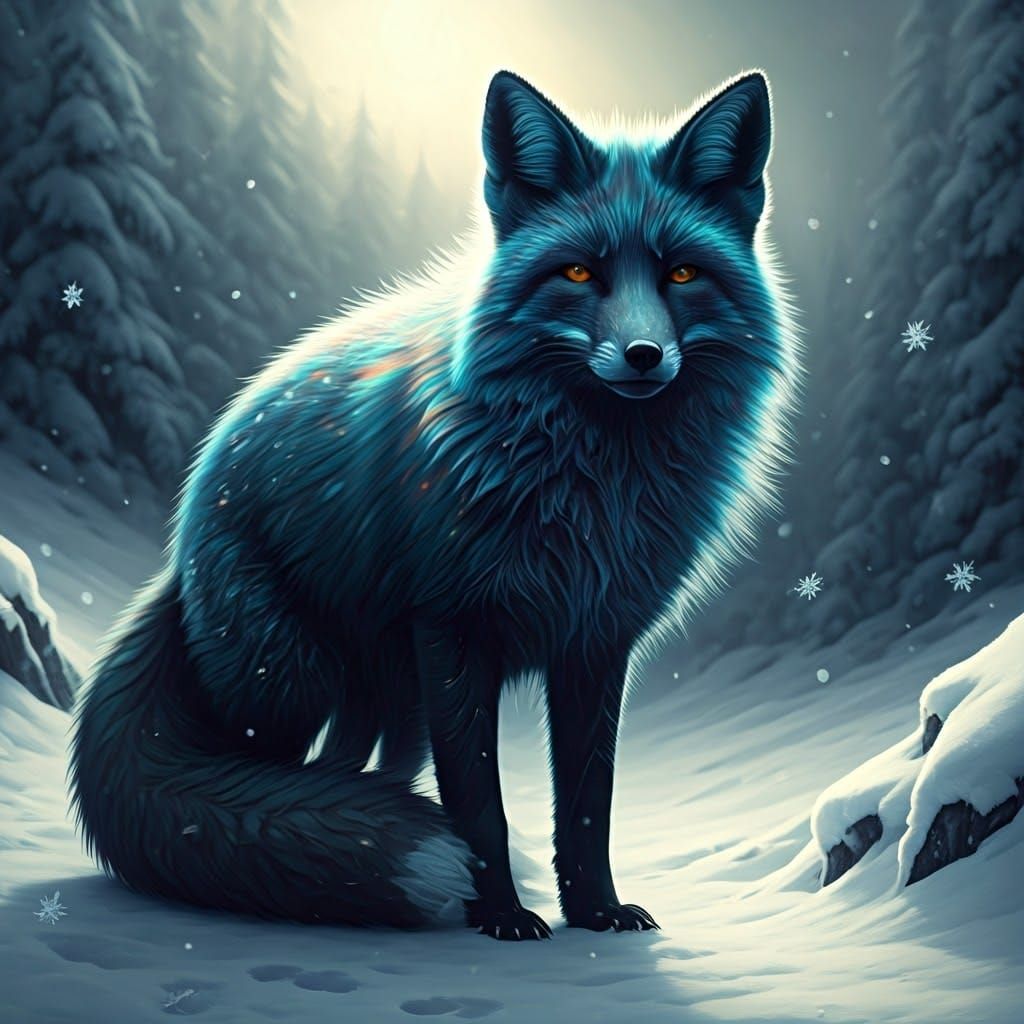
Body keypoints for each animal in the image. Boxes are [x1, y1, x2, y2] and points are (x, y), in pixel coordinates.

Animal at [71, 70, 799, 940]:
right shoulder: (455, 632)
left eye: (681, 274)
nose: (644, 355)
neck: (591, 488)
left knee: (353, 772)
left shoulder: (595, 643)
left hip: (386, 699)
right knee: (268, 785)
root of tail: (178, 551)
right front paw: (502, 917)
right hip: (288, 685)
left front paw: (595, 912)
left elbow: (588, 804)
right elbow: (480, 804)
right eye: (579, 274)